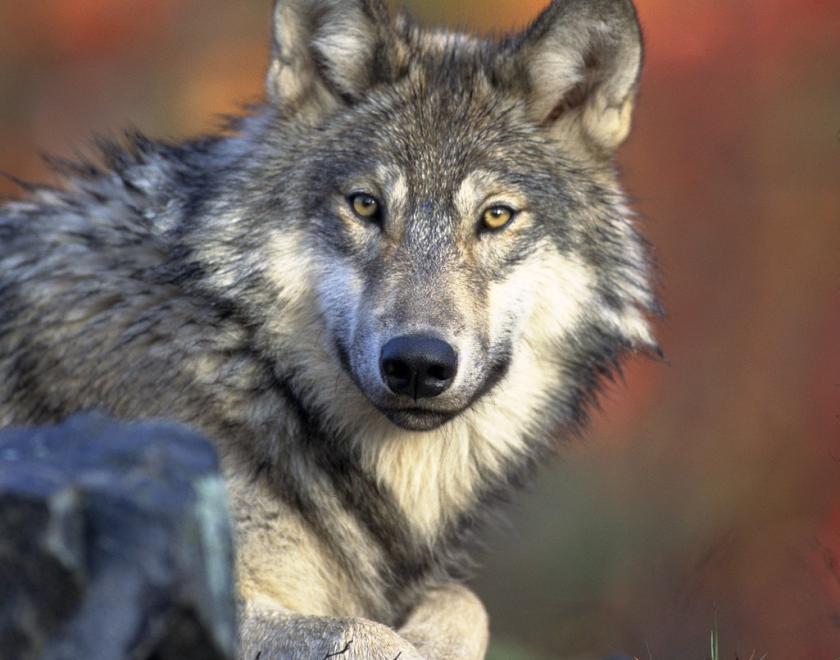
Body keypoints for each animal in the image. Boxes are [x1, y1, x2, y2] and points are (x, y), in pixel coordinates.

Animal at [0, 0, 658, 657]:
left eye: (496, 216)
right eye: (365, 205)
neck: (246, 363)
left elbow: (465, 603)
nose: (417, 363)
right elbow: (366, 631)